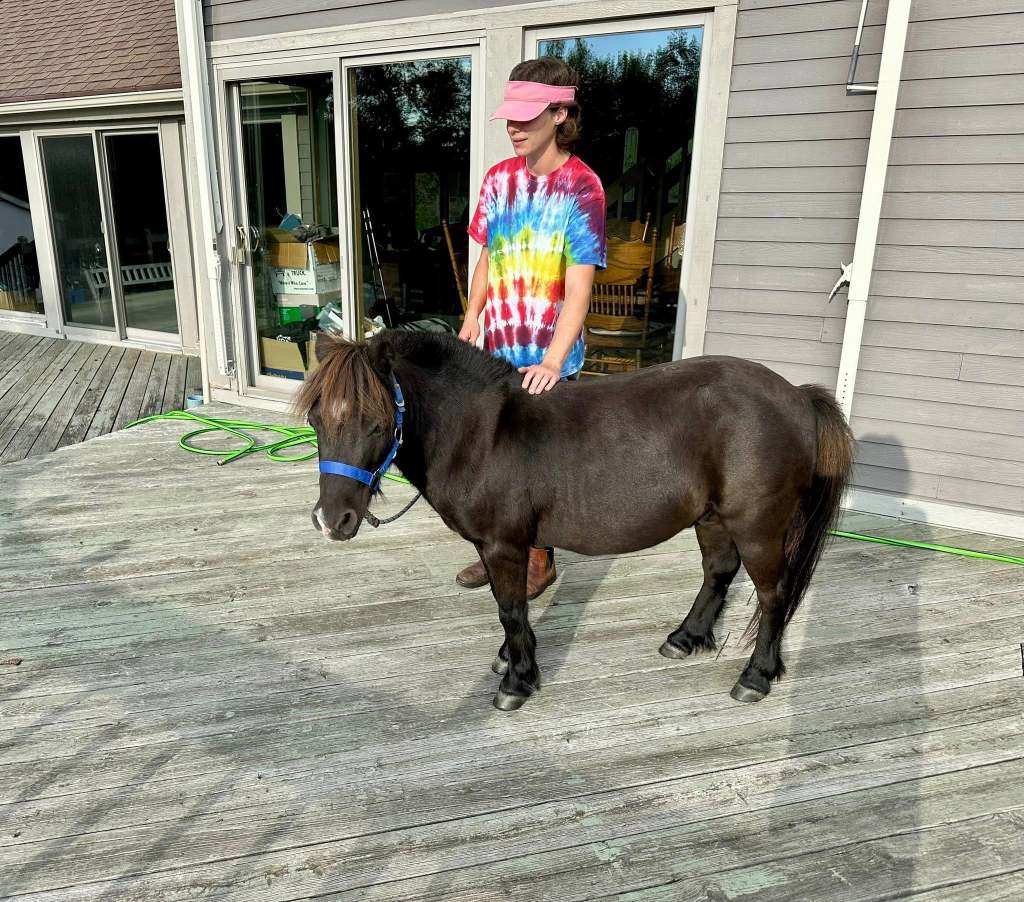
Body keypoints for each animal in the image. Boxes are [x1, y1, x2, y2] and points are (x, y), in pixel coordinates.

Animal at [296, 329, 854, 712]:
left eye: (377, 422)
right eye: (316, 420)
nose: (332, 520)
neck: (482, 433)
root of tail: (797, 396)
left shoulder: (503, 544)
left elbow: (511, 609)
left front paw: (517, 681)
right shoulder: (495, 547)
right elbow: (511, 606)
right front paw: (512, 658)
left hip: (758, 526)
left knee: (773, 594)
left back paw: (756, 676)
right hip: (713, 518)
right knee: (718, 573)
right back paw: (684, 639)